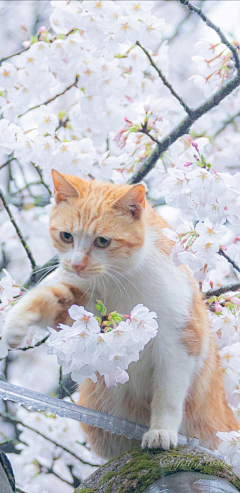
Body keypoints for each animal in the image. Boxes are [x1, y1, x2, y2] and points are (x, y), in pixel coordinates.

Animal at [2, 169, 239, 458]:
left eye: (102, 241)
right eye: (66, 236)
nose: (77, 264)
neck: (120, 278)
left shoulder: (179, 340)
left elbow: (168, 395)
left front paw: (162, 431)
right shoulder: (77, 302)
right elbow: (44, 297)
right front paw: (13, 325)